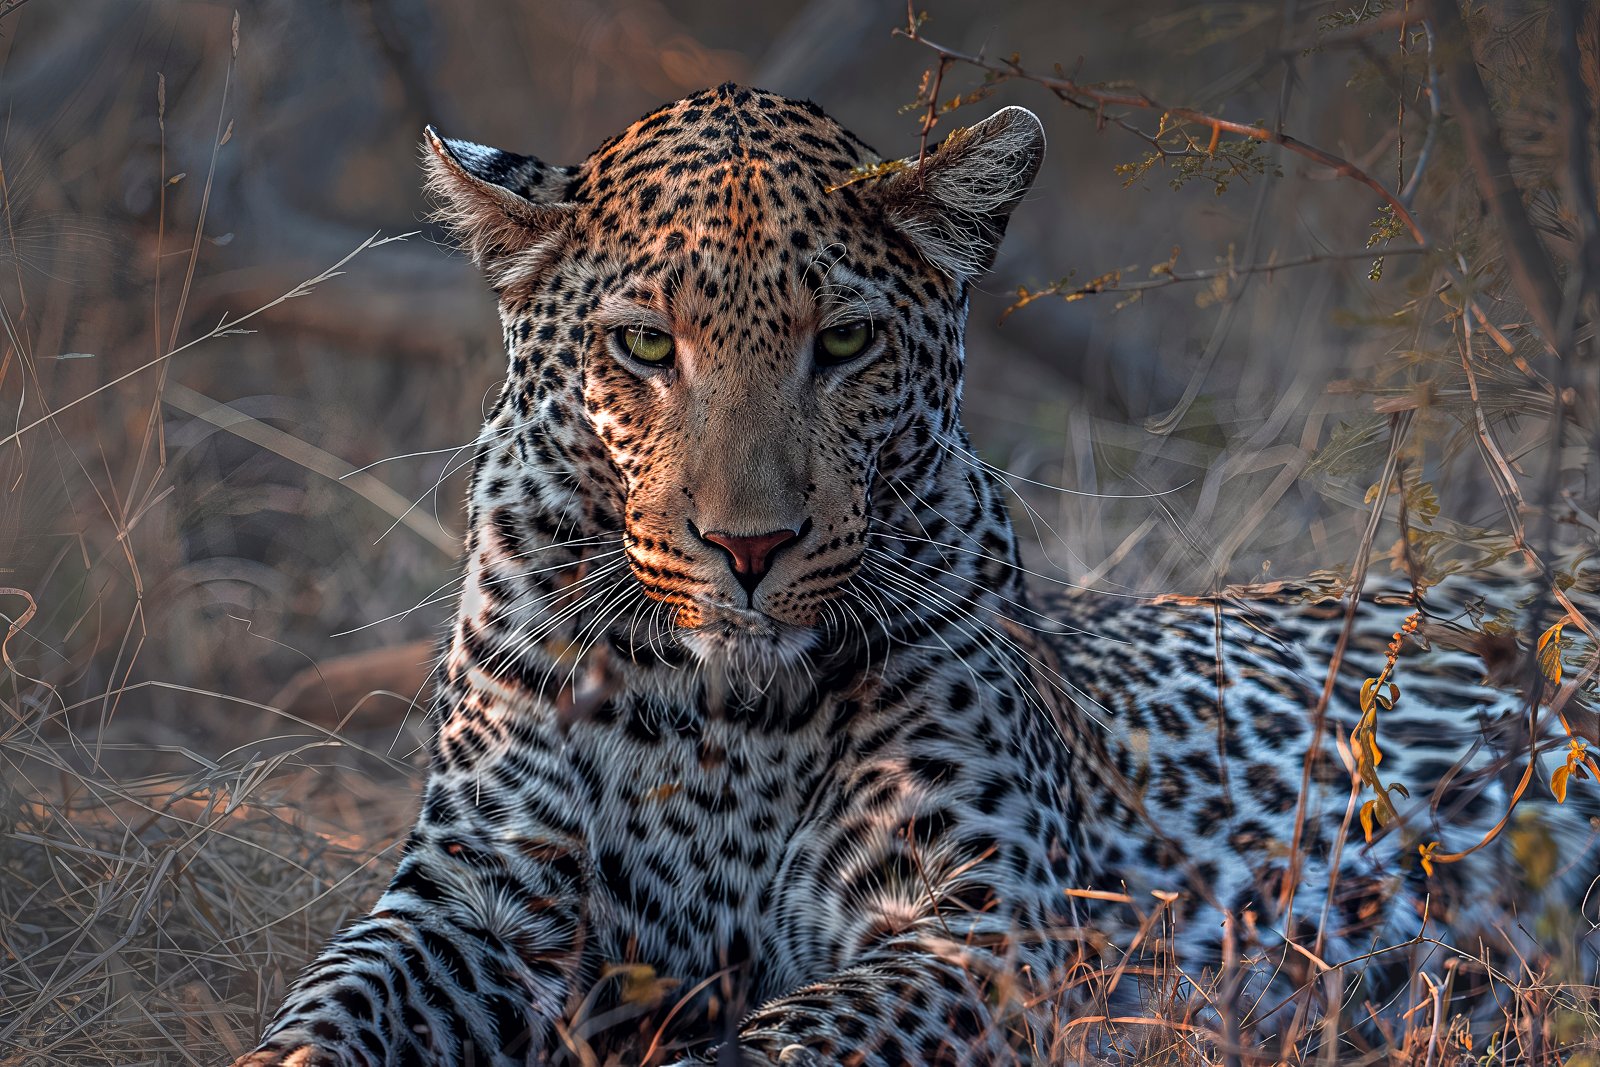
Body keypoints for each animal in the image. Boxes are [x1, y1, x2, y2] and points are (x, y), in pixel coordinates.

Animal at [236, 84, 1599, 1067]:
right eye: (643, 346)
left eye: (843, 343)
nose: (748, 546)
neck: (718, 713)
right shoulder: (479, 893)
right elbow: (328, 1010)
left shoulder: (983, 927)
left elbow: (781, 1047)